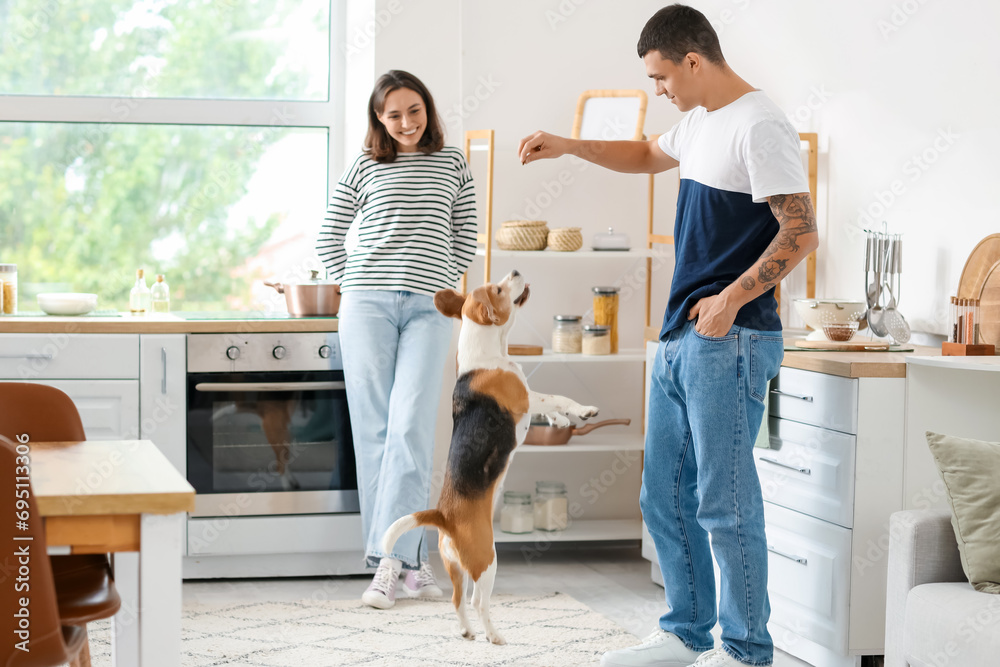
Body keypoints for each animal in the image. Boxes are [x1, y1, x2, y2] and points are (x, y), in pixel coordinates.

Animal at [380, 268, 596, 644]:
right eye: (498, 289)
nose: (515, 271)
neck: (487, 351)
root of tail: (444, 516)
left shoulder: (529, 398)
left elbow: (552, 407)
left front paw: (559, 422)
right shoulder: (524, 398)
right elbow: (558, 398)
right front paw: (582, 410)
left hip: (457, 568)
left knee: (457, 600)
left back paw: (467, 632)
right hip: (487, 561)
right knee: (479, 602)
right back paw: (495, 635)